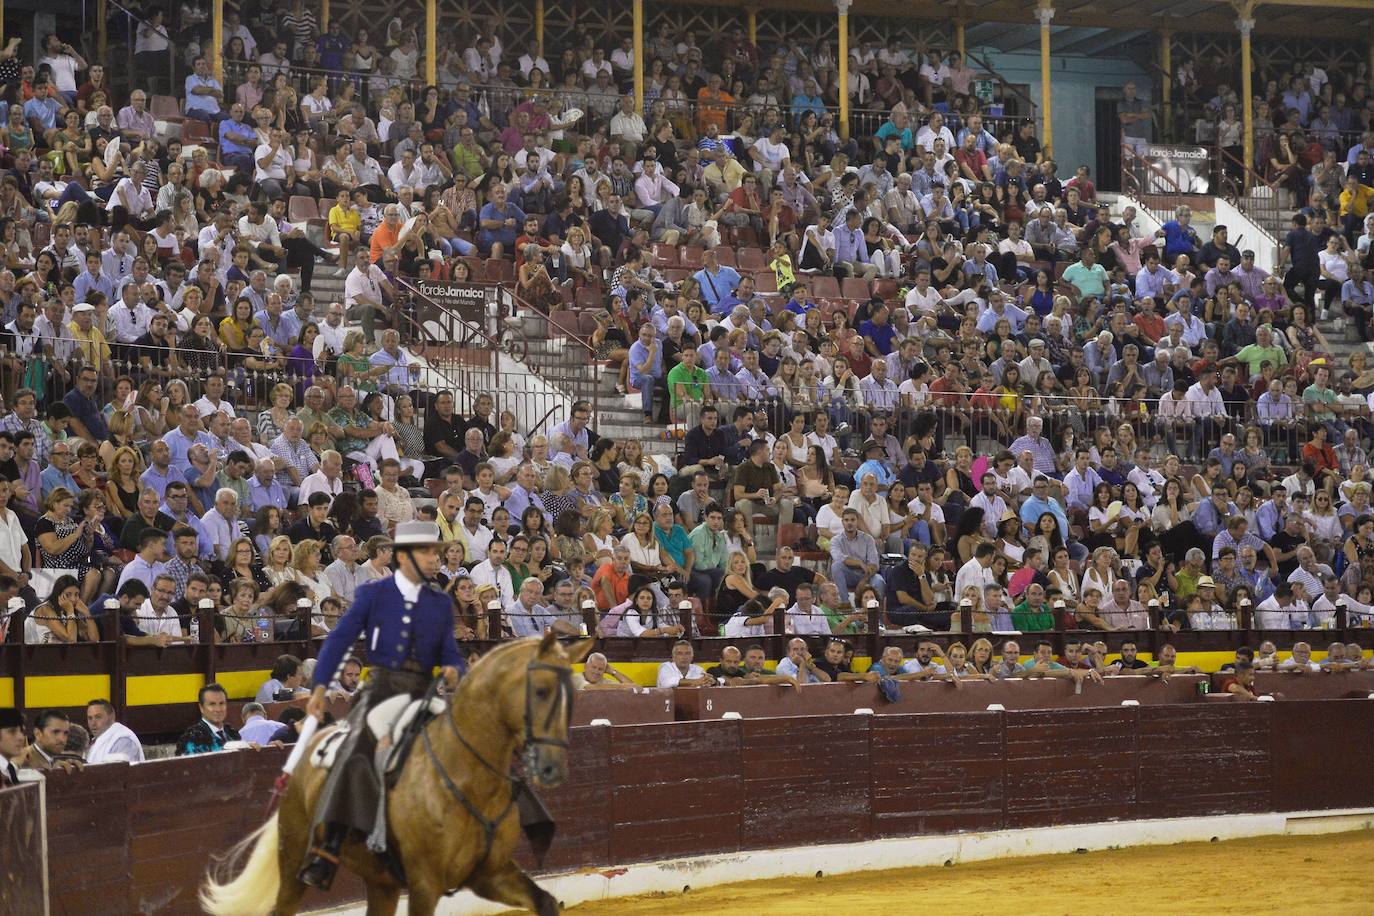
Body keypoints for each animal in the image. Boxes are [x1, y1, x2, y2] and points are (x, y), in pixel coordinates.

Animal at [200, 634, 593, 916]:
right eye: (540, 691)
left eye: (571, 697)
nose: (553, 768)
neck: (467, 776)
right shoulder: (424, 884)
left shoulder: (491, 874)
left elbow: (545, 902)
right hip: (295, 858)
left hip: (382, 883)